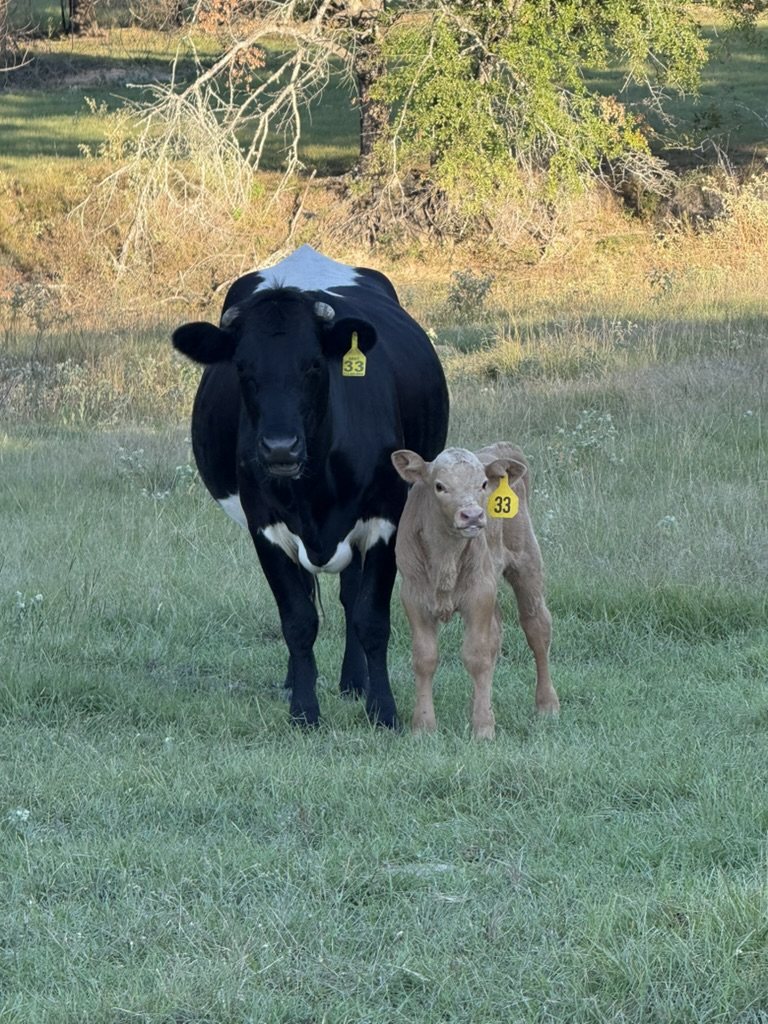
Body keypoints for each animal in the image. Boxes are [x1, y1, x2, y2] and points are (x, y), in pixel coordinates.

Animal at [172, 245, 449, 728]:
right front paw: (303, 709)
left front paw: (383, 709)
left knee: (350, 596)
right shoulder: (263, 526)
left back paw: (354, 681)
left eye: (314, 365)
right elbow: (297, 619)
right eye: (242, 368)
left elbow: (371, 617)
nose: (280, 448)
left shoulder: (386, 519)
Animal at [391, 443, 559, 739]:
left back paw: (547, 705)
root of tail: (503, 446)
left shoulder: (479, 594)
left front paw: (483, 728)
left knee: (537, 627)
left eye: (482, 484)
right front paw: (423, 726)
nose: (472, 515)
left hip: (527, 562)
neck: (445, 559)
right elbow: (424, 657)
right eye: (439, 486)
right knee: (496, 634)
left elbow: (477, 655)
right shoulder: (413, 596)